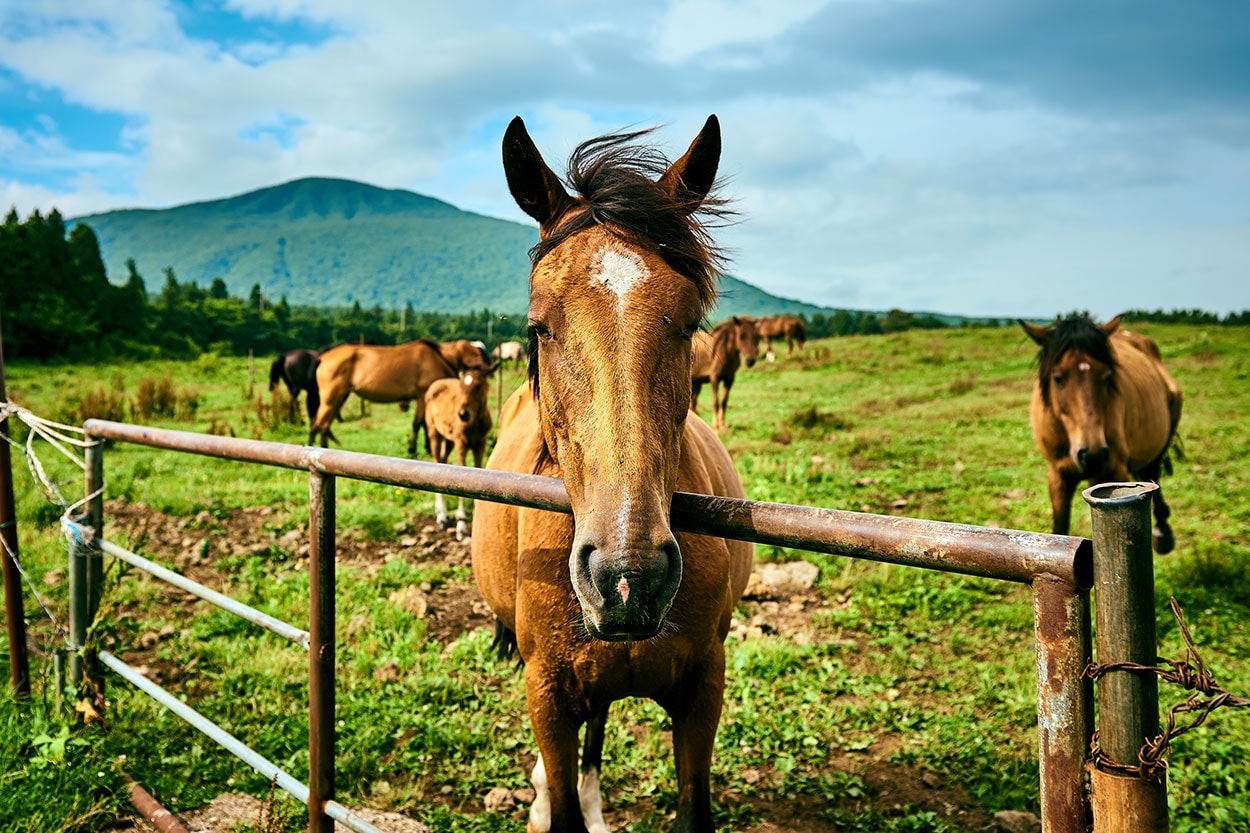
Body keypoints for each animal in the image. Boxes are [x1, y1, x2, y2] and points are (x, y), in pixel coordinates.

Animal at [308, 337, 460, 450]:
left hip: (339, 398)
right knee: (317, 425)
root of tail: (322, 357)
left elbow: (423, 423)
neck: (435, 361)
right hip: (331, 400)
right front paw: (413, 451)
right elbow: (418, 424)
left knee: (324, 426)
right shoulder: (422, 396)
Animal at [425, 367, 492, 537]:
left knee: (442, 460)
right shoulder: (461, 443)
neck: (474, 422)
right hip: (434, 434)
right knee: (436, 461)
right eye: (461, 387)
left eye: (478, 387)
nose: (463, 414)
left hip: (449, 440)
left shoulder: (480, 443)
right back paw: (442, 516)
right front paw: (461, 523)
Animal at [470, 111, 750, 830]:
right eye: (538, 327)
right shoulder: (547, 693)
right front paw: (553, 800)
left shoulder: (704, 688)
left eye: (690, 323)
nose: (628, 577)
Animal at [1020, 312, 1185, 550]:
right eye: (1058, 378)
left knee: (1153, 470)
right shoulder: (1057, 474)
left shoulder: (1116, 471)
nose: (1093, 454)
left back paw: (1162, 533)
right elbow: (1060, 528)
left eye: (1107, 377)